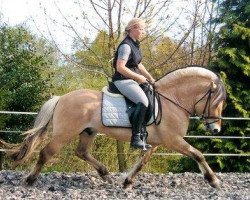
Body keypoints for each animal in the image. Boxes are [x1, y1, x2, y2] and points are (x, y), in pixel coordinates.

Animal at [0, 66, 227, 190]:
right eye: (216, 102)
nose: (215, 129)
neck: (172, 100)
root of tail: (62, 98)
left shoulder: (155, 142)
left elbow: (142, 162)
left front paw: (127, 182)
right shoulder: (174, 140)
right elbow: (198, 154)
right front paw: (214, 181)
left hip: (88, 132)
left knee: (82, 152)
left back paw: (105, 173)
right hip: (64, 134)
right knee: (46, 153)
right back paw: (30, 180)